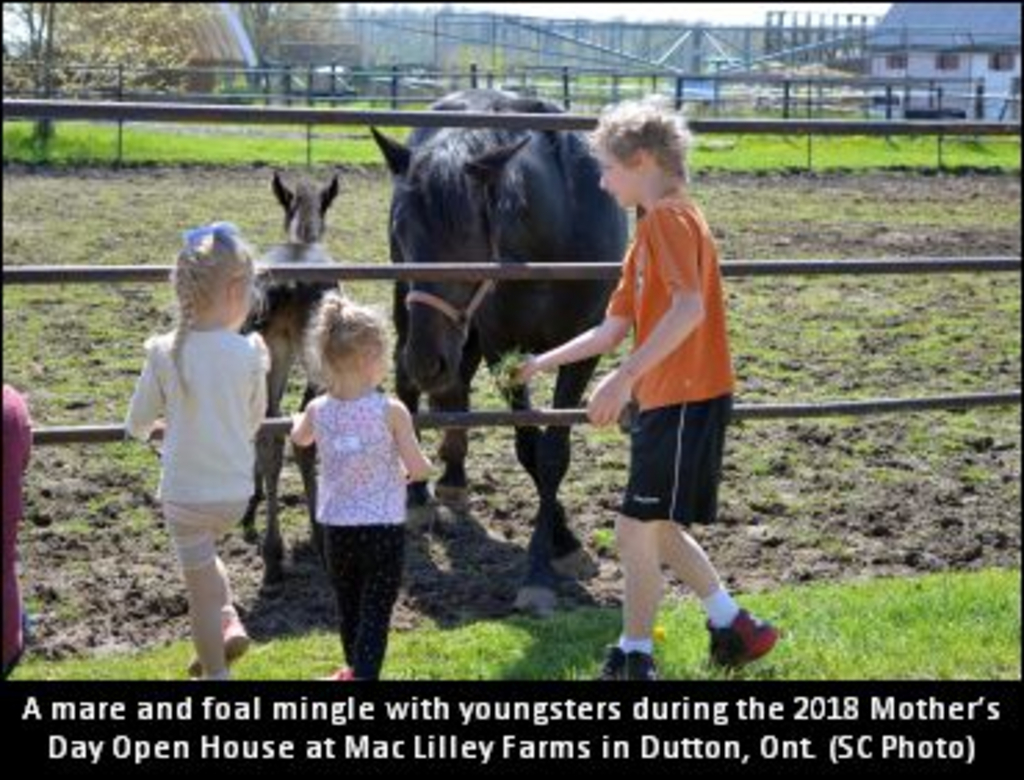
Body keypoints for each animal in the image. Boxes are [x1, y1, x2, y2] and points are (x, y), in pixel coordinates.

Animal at [368, 89, 622, 614]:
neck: (554, 239)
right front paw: (543, 566)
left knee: (455, 387)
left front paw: (559, 550)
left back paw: (454, 477)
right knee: (409, 384)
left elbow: (553, 454)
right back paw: (419, 495)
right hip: (416, 313)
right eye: (402, 232)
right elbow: (530, 448)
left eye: (467, 238)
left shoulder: (582, 349)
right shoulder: (502, 346)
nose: (427, 361)